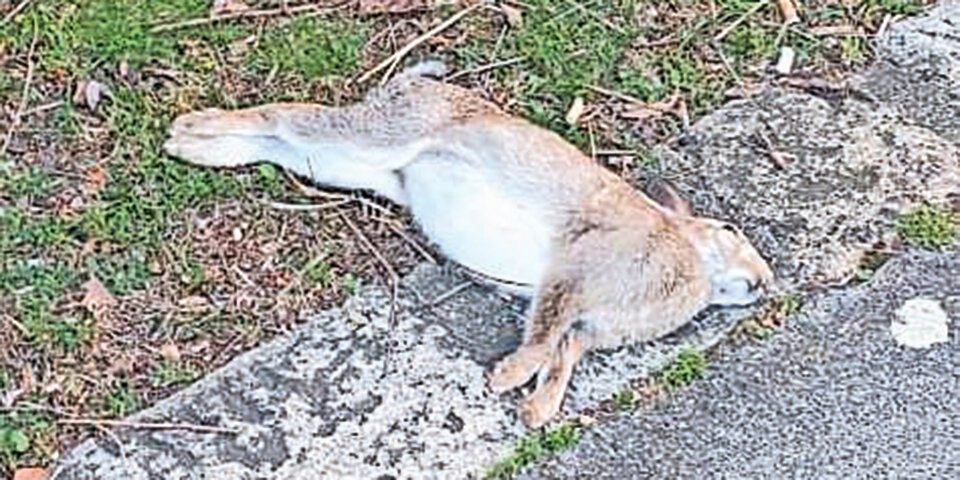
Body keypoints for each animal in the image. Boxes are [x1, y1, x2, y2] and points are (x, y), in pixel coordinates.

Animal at [163, 61, 775, 428]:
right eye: (730, 231)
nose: (764, 281)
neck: (693, 258)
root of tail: (411, 85)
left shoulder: (589, 323)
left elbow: (564, 353)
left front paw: (536, 409)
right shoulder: (578, 269)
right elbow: (545, 332)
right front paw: (507, 378)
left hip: (345, 166)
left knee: (278, 142)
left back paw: (198, 147)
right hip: (373, 135)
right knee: (282, 116)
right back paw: (186, 132)